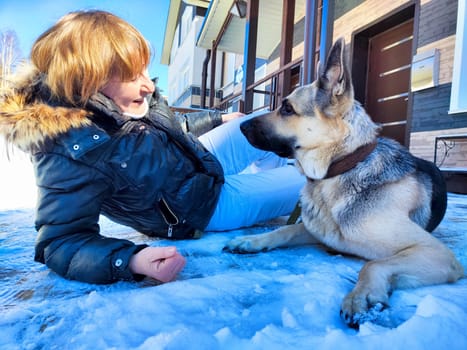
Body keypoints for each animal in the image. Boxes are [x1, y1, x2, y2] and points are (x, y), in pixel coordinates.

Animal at [224, 37, 464, 328]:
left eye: (287, 109)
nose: (240, 127)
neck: (340, 169)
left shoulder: (436, 253)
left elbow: (373, 264)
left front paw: (362, 296)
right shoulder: (317, 232)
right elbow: (286, 229)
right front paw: (252, 240)